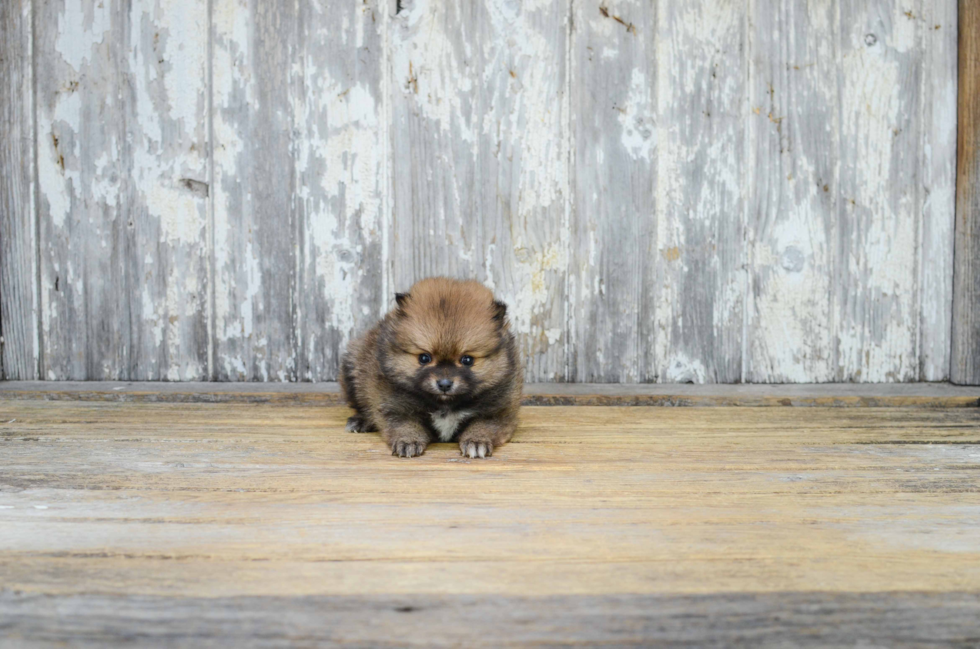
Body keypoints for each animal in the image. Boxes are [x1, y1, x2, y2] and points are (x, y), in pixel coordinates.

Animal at [338, 276, 520, 458]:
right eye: (424, 358)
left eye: (467, 360)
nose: (445, 384)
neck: (445, 405)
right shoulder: (395, 407)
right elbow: (406, 425)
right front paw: (408, 441)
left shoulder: (498, 412)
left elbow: (482, 425)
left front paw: (476, 440)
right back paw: (361, 421)